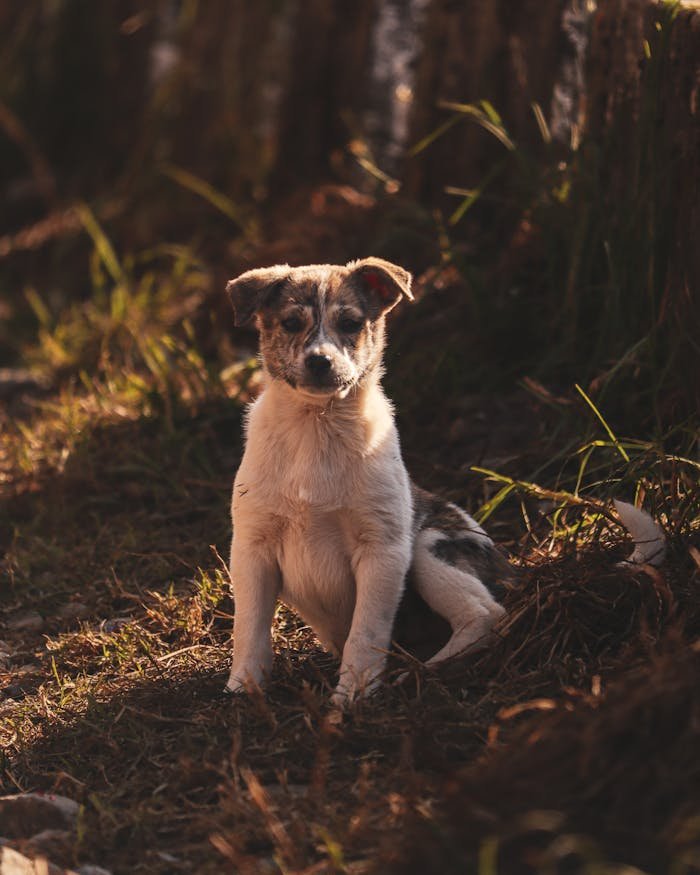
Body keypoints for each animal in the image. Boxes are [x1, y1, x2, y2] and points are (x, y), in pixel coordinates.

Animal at [224, 256, 508, 708]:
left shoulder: (382, 550)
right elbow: (249, 627)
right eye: (290, 323)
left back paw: (421, 672)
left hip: (430, 546)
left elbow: (366, 632)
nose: (320, 362)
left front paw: (352, 694)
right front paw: (244, 687)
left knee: (485, 615)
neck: (317, 427)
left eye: (351, 323)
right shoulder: (253, 548)